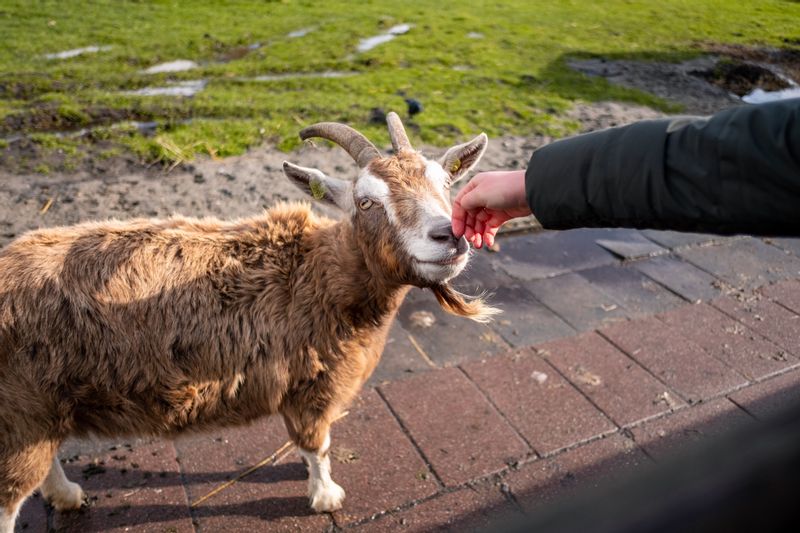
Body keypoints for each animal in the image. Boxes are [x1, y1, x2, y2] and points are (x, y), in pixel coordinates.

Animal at [0, 111, 496, 528]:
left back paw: (67, 495)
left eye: (446, 184)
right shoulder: (311, 385)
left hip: (41, 413)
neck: (320, 274)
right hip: (21, 420)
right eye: (366, 201)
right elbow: (317, 445)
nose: (448, 235)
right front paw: (326, 496)